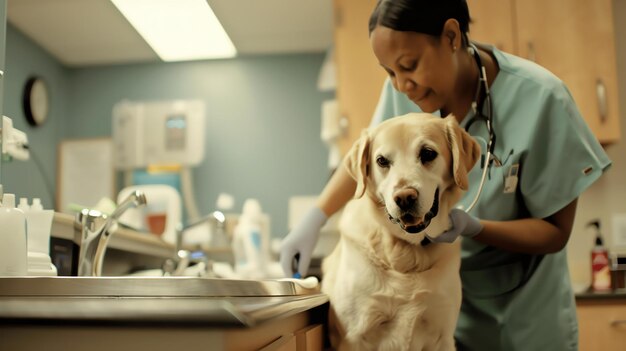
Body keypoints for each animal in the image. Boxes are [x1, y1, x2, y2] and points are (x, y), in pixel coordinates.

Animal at [320, 113, 480, 351]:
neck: (406, 250)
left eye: (428, 153)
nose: (405, 198)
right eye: (381, 161)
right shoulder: (353, 337)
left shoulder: (443, 336)